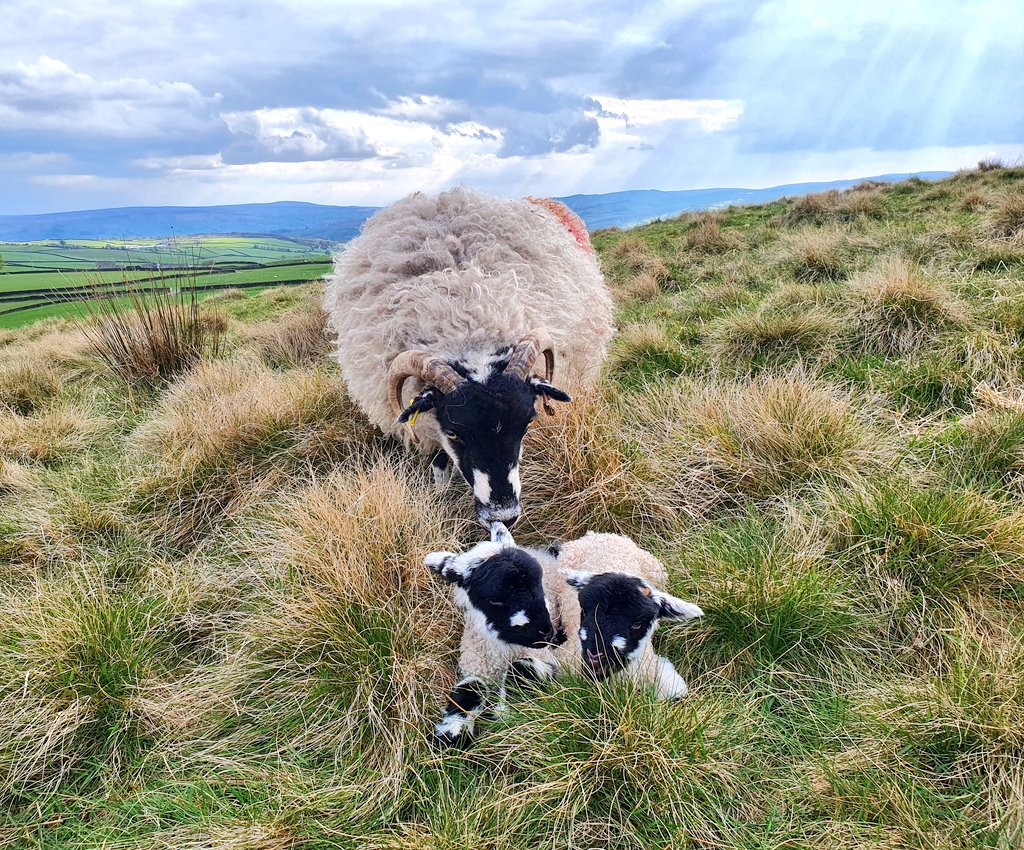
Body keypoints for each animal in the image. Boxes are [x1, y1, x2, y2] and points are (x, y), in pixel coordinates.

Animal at [323, 189, 610, 528]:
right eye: (453, 432)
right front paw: (440, 496)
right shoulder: (429, 423)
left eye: (527, 423)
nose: (504, 517)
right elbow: (439, 462)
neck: (466, 319)